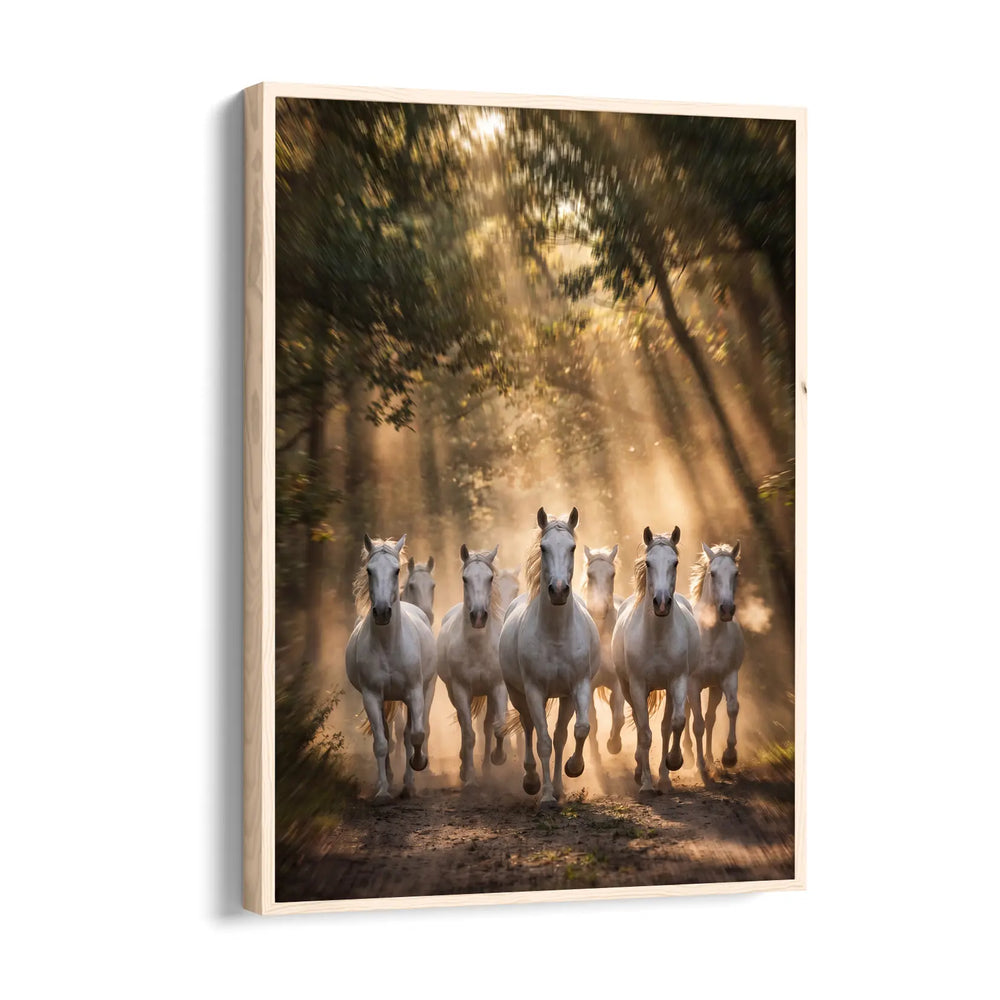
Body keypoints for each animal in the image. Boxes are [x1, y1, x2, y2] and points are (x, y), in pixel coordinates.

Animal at [345, 534, 437, 805]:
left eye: (396, 571)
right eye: (369, 570)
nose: (383, 612)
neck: (388, 644)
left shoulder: (414, 693)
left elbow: (415, 734)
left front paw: (418, 765)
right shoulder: (372, 696)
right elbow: (381, 743)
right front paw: (383, 791)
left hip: (426, 690)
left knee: (410, 732)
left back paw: (409, 781)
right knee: (386, 734)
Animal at [436, 544, 508, 784]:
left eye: (490, 577)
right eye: (465, 579)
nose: (478, 616)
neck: (477, 646)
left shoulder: (498, 687)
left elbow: (498, 727)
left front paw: (498, 758)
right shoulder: (460, 689)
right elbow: (468, 733)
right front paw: (467, 774)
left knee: (487, 727)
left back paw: (487, 767)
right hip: (453, 692)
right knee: (464, 725)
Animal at [498, 507, 601, 808]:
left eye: (572, 547)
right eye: (543, 548)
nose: (558, 590)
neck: (555, 634)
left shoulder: (578, 686)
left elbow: (577, 730)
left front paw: (572, 770)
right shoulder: (534, 691)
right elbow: (542, 741)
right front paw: (544, 796)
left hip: (563, 697)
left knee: (559, 735)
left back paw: (559, 787)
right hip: (519, 695)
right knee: (529, 728)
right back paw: (532, 780)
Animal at [611, 526, 704, 794]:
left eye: (675, 562)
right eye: (648, 563)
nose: (661, 603)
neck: (657, 637)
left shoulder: (678, 680)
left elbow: (676, 723)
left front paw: (674, 762)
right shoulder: (637, 685)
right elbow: (644, 732)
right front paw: (645, 783)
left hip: (670, 689)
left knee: (665, 727)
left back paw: (664, 777)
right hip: (627, 688)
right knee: (640, 723)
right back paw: (640, 772)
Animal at [682, 542, 746, 776]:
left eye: (736, 573)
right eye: (713, 573)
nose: (726, 609)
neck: (711, 634)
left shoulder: (726, 679)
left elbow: (731, 709)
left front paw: (729, 756)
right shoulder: (692, 683)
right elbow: (697, 724)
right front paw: (700, 765)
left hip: (713, 688)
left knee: (710, 719)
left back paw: (710, 759)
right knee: (688, 714)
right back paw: (689, 755)